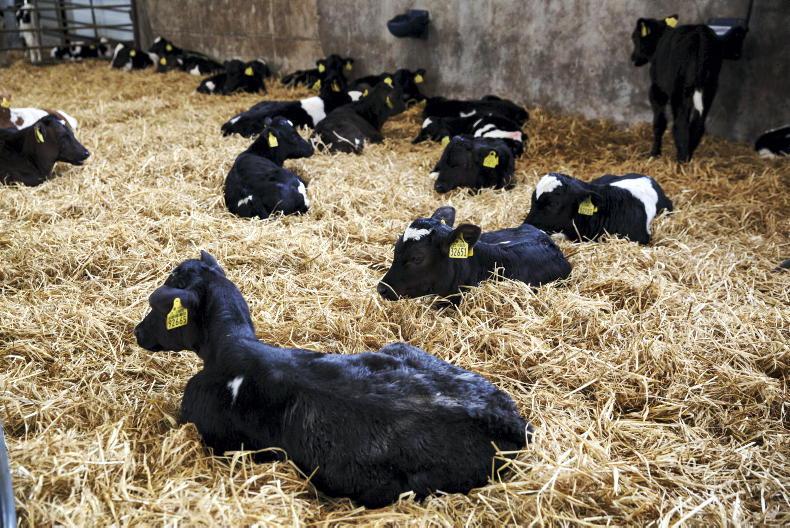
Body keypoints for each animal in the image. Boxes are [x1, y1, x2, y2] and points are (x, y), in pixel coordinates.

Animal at [631, 15, 724, 162]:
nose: (633, 58)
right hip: (710, 87)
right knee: (697, 125)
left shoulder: (657, 89)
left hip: (679, 91)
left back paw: (681, 162)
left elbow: (659, 123)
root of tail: (700, 35)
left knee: (681, 125)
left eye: (635, 37)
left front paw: (654, 153)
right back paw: (687, 157)